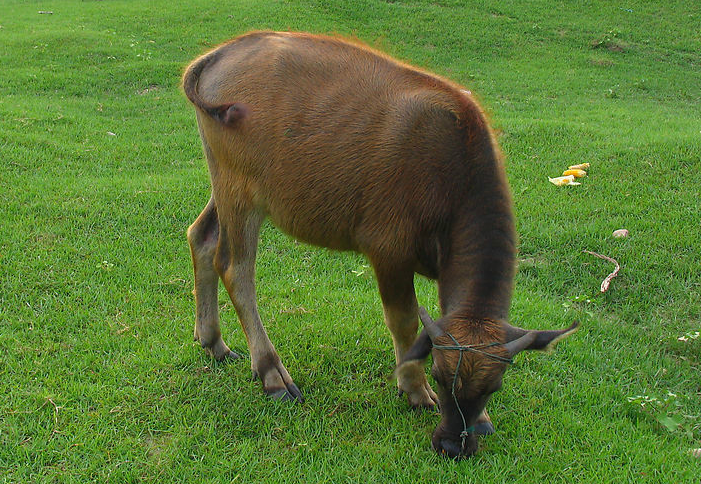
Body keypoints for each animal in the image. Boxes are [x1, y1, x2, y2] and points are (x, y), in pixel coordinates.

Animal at [180, 32, 576, 460]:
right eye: (439, 376)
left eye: (494, 386)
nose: (452, 444)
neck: (452, 174)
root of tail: (222, 52)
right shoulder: (388, 251)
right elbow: (404, 322)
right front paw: (414, 389)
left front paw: (482, 419)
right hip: (240, 190)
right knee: (235, 268)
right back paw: (271, 372)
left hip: (225, 185)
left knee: (202, 237)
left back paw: (213, 342)